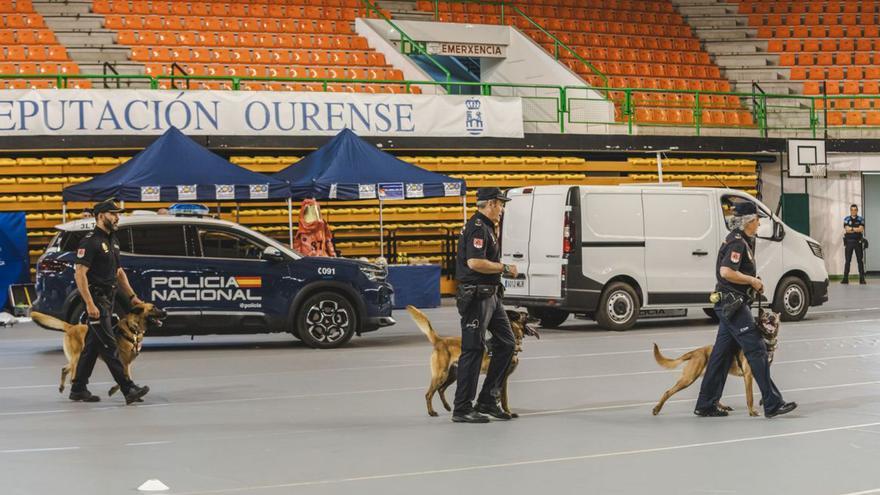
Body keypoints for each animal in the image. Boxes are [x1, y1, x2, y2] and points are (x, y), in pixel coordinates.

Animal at [30, 304, 166, 398]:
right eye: (153, 308)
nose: (165, 312)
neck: (132, 329)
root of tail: (71, 326)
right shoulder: (124, 363)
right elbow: (126, 378)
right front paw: (121, 390)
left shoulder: (126, 364)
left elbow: (126, 378)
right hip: (78, 358)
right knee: (72, 376)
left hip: (76, 359)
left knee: (64, 369)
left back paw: (63, 387)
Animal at [404, 306, 536, 418]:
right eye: (526, 315)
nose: (539, 319)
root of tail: (440, 340)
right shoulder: (500, 377)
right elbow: (503, 398)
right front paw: (506, 412)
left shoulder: (503, 379)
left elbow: (502, 398)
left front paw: (506, 412)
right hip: (441, 374)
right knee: (429, 394)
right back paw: (431, 412)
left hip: (453, 375)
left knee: (441, 389)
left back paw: (447, 407)